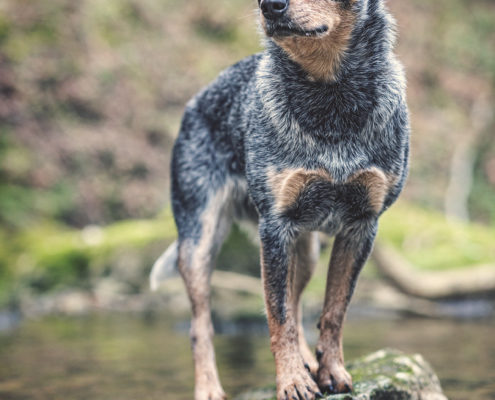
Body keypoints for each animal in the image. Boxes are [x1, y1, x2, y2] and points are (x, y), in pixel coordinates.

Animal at [150, 0, 410, 398]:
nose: (270, 6)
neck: (329, 97)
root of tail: (196, 100)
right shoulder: (274, 227)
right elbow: (278, 315)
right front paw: (291, 381)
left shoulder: (361, 226)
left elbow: (333, 310)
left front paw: (330, 372)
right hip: (199, 241)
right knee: (201, 326)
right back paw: (209, 387)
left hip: (306, 250)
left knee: (298, 301)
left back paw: (308, 362)